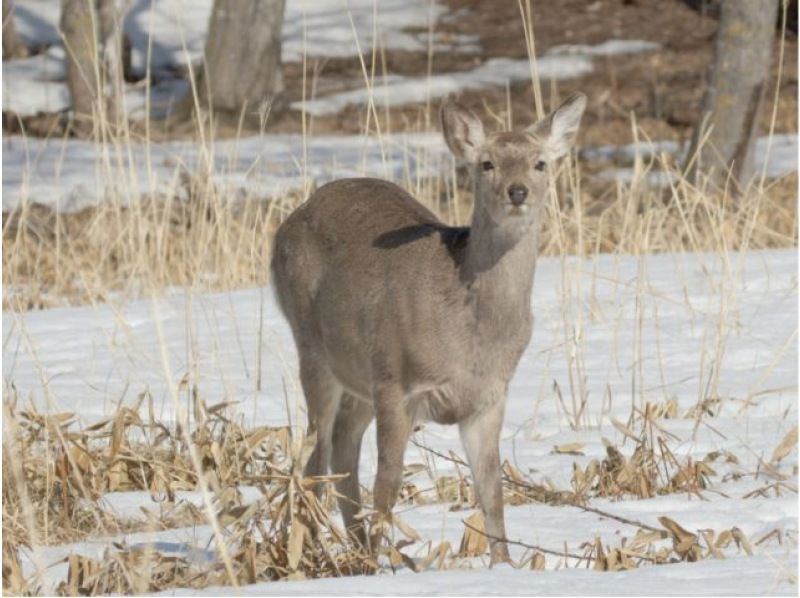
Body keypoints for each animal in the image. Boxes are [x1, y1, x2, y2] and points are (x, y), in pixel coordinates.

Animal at [270, 91, 588, 564]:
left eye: (540, 163)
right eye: (487, 163)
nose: (517, 192)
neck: (471, 333)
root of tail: (290, 220)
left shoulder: (488, 397)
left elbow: (492, 491)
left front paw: (504, 565)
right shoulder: (396, 381)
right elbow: (388, 483)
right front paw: (379, 566)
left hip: (359, 373)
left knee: (342, 447)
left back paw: (352, 547)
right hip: (313, 346)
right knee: (315, 452)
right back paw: (315, 551)